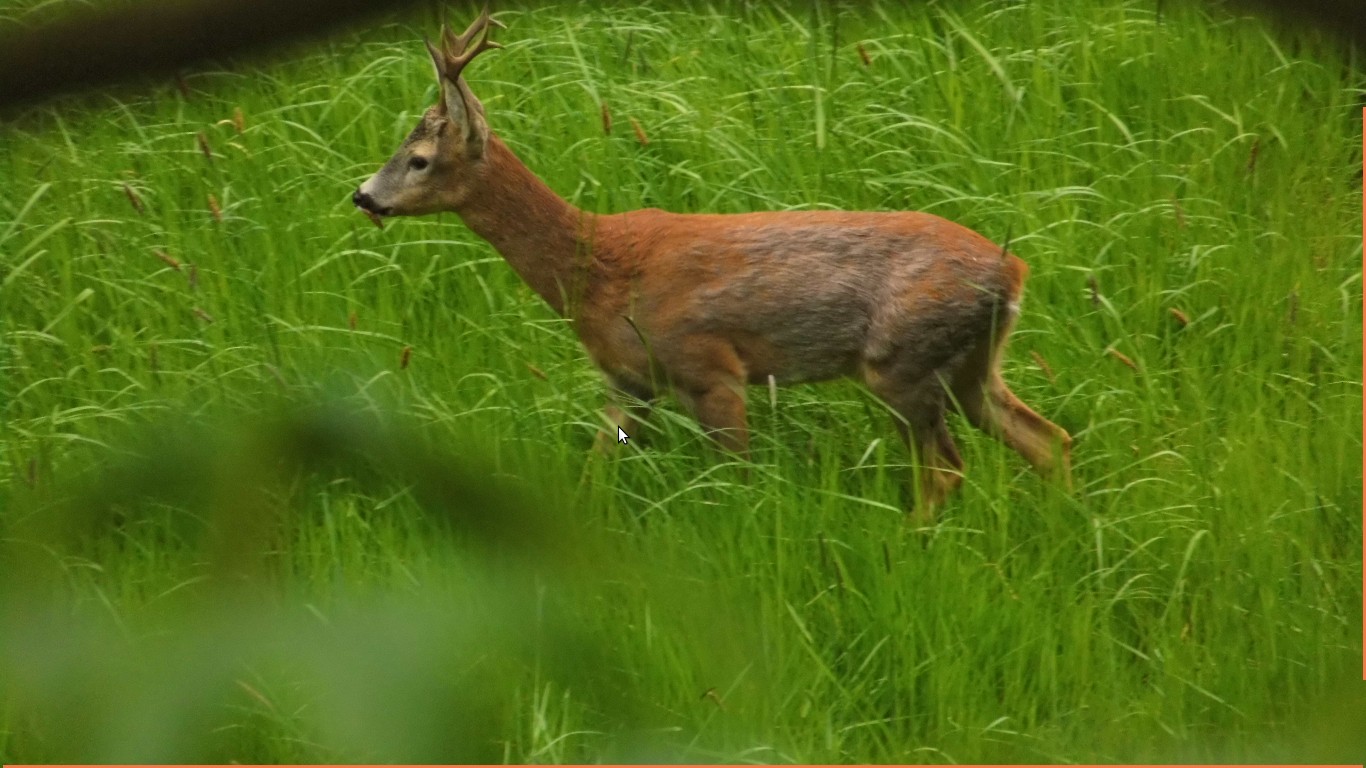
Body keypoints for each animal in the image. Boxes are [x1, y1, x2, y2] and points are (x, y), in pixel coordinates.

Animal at [346, 8, 1070, 511]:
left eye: (419, 159)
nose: (363, 194)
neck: (598, 269)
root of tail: (1014, 273)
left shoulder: (711, 366)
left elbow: (738, 481)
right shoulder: (629, 382)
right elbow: (592, 474)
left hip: (903, 361)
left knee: (948, 469)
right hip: (974, 366)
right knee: (1048, 440)